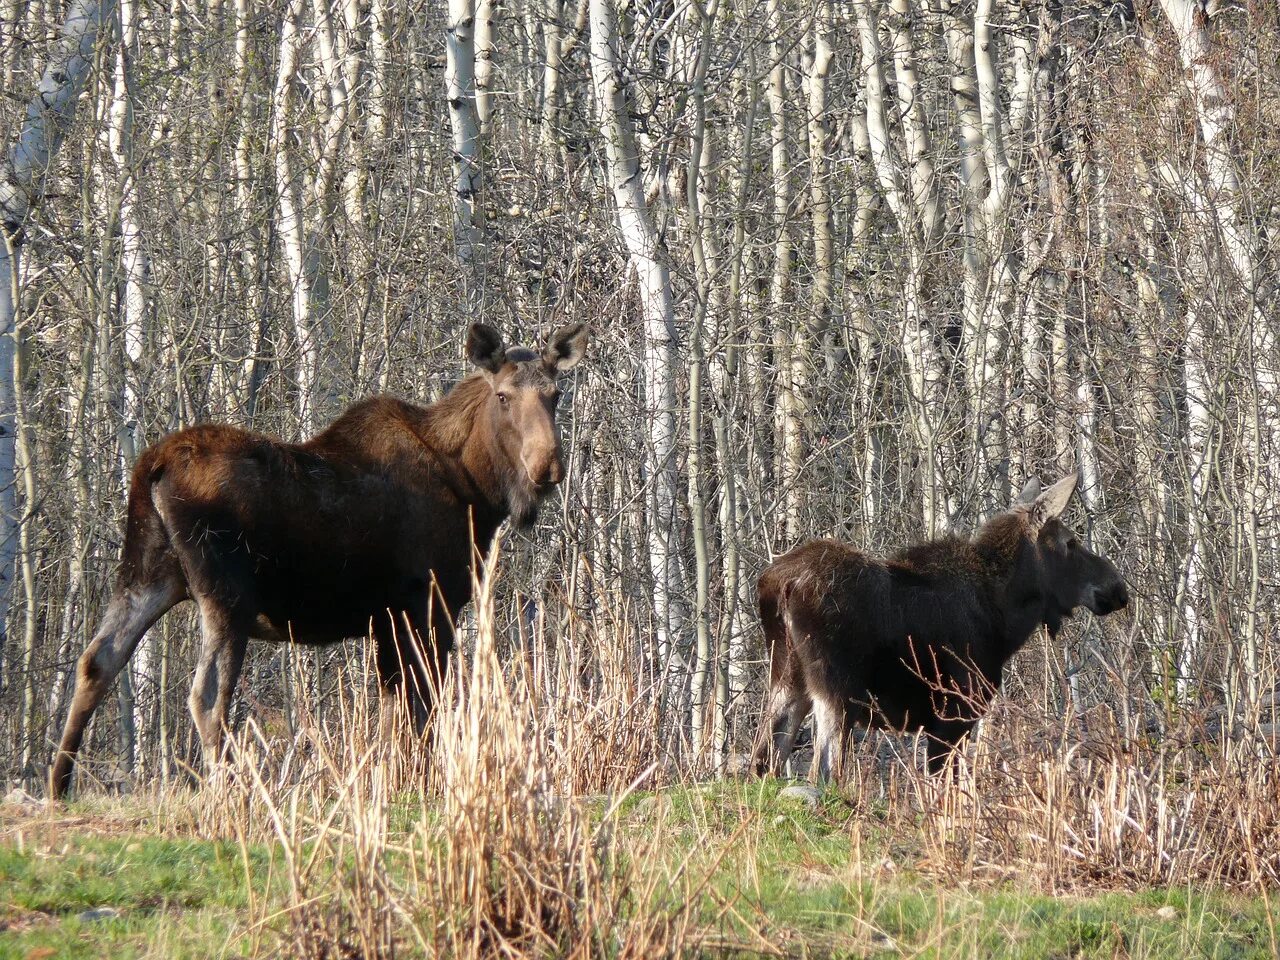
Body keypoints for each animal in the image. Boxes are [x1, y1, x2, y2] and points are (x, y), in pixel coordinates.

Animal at [48, 320, 588, 798]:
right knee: (205, 696)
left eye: (557, 394)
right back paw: (230, 792)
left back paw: (59, 784)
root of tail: (152, 465)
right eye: (503, 396)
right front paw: (427, 783)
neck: (476, 488)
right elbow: (426, 707)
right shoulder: (430, 605)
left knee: (96, 660)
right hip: (227, 597)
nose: (548, 465)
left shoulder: (386, 621)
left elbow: (395, 713)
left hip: (148, 574)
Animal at [752, 473, 1126, 783]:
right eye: (1070, 542)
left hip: (787, 678)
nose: (1118, 587)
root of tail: (781, 584)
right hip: (836, 688)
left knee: (761, 761)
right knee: (823, 770)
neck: (1005, 621)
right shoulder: (953, 715)